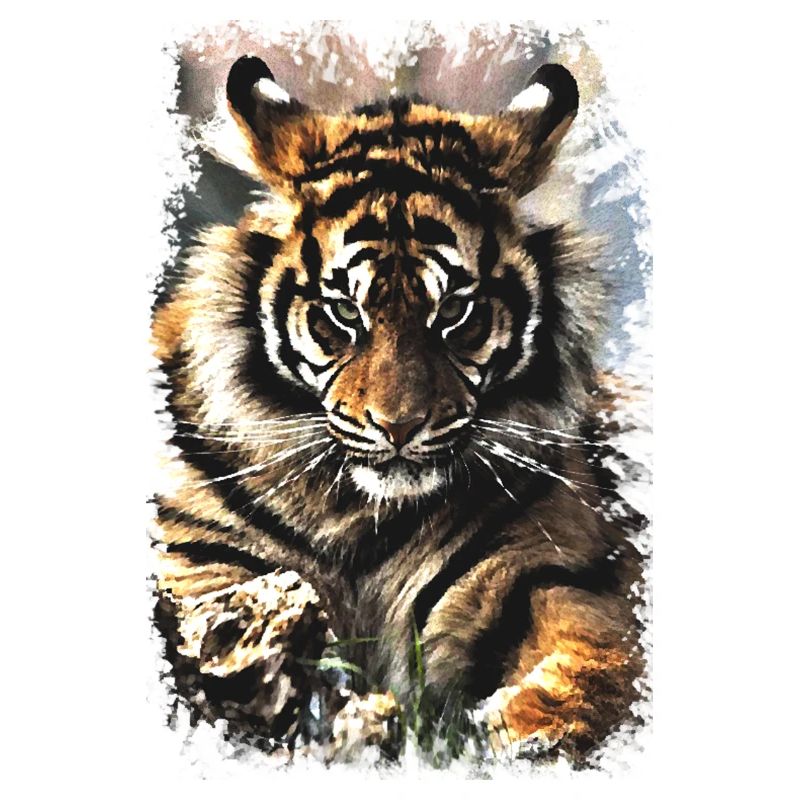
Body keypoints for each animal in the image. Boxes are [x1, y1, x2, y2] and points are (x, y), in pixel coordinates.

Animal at [150, 54, 647, 765]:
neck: (359, 518)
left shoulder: (559, 570)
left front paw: (537, 737)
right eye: (343, 313)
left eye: (456, 313)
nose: (400, 426)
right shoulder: (202, 560)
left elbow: (595, 664)